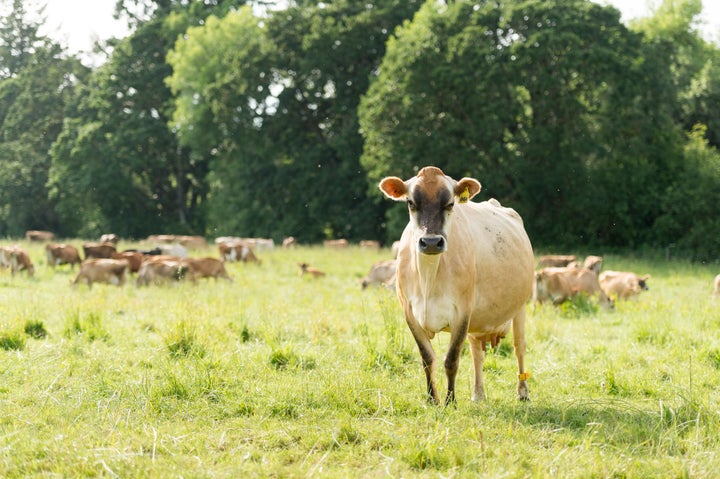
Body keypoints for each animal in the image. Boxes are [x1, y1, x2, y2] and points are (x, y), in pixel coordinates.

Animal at [376, 167, 536, 404]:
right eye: (411, 203)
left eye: (450, 204)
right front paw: (432, 399)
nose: (431, 242)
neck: (429, 277)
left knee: (519, 347)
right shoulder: (410, 313)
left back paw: (523, 392)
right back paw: (478, 394)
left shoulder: (462, 312)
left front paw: (450, 401)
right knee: (477, 352)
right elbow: (427, 358)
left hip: (520, 307)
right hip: (478, 318)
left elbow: (451, 360)